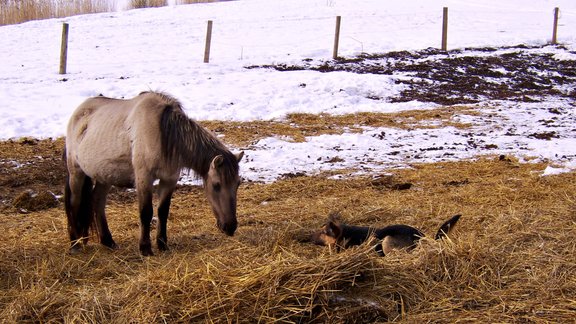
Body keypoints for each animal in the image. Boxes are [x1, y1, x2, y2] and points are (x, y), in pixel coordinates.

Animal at [64, 91, 243, 256]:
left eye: (237, 184)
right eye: (216, 185)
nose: (231, 227)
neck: (163, 134)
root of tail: (77, 113)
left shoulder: (169, 179)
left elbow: (163, 211)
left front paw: (162, 244)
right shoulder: (144, 177)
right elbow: (146, 212)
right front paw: (145, 248)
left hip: (105, 176)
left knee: (97, 201)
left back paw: (108, 241)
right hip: (76, 172)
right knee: (74, 203)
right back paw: (75, 244)